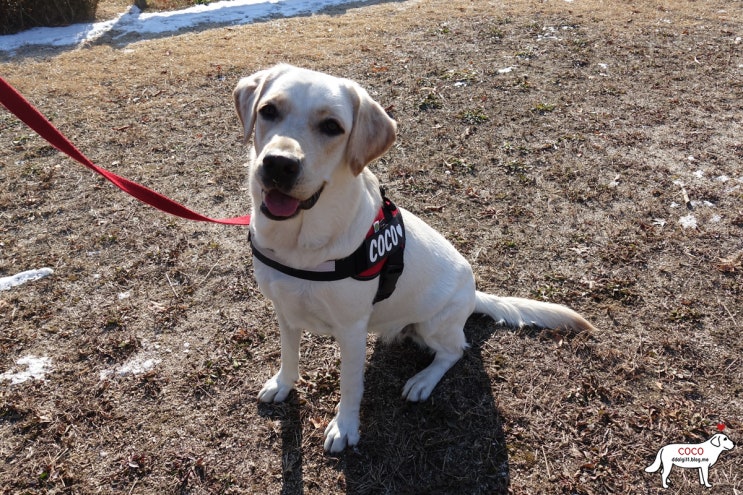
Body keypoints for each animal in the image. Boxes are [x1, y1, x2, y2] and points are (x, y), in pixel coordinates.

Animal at [235, 63, 596, 454]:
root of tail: (474, 294)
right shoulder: (285, 310)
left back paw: (423, 380)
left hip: (433, 324)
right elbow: (289, 355)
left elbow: (350, 385)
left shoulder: (350, 330)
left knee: (456, 351)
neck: (298, 243)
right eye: (268, 110)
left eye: (332, 126)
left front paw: (345, 427)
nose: (278, 164)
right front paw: (283, 384)